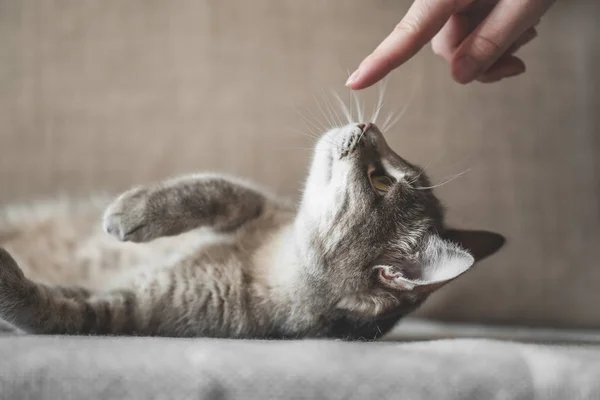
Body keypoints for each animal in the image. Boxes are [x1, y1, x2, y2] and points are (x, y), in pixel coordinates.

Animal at [0, 121, 502, 338]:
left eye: (381, 181)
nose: (368, 123)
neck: (270, 258)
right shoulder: (258, 205)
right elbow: (213, 190)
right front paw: (136, 210)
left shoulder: (132, 310)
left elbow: (50, 309)